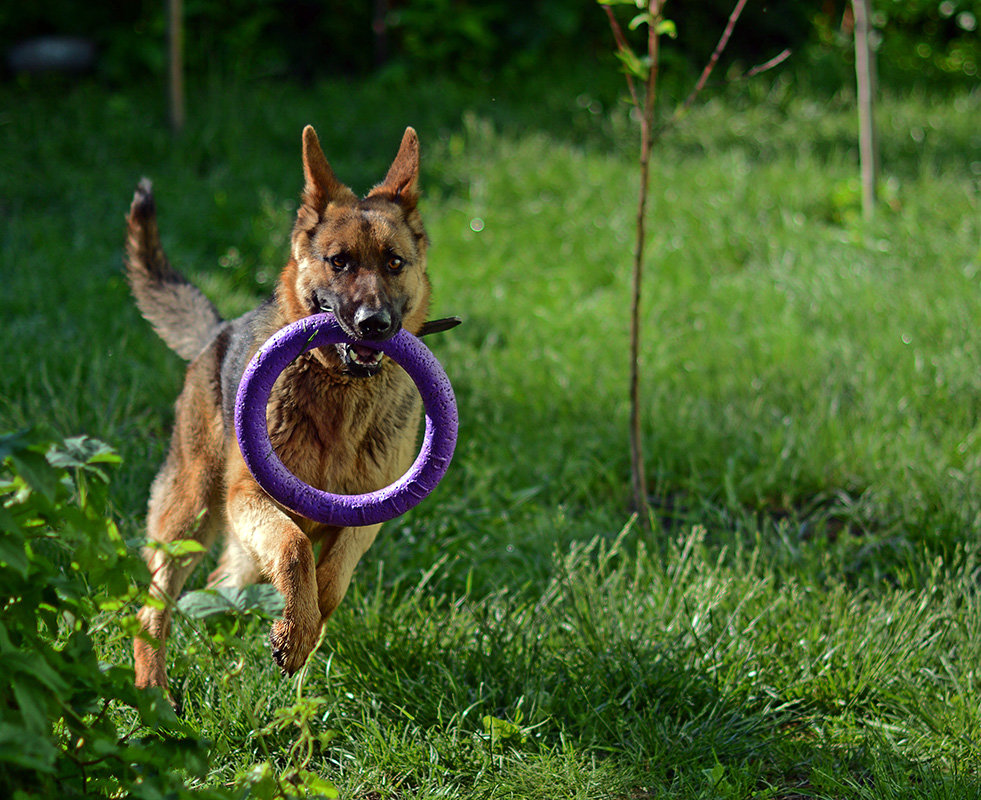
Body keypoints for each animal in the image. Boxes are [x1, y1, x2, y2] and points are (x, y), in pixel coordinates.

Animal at [126, 125, 440, 692]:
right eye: (339, 261)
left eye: (394, 263)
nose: (374, 324)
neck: (340, 392)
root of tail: (216, 332)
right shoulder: (249, 499)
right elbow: (296, 551)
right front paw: (295, 634)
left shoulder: (369, 512)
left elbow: (334, 574)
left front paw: (303, 627)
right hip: (189, 516)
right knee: (151, 609)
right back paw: (151, 690)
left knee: (222, 581)